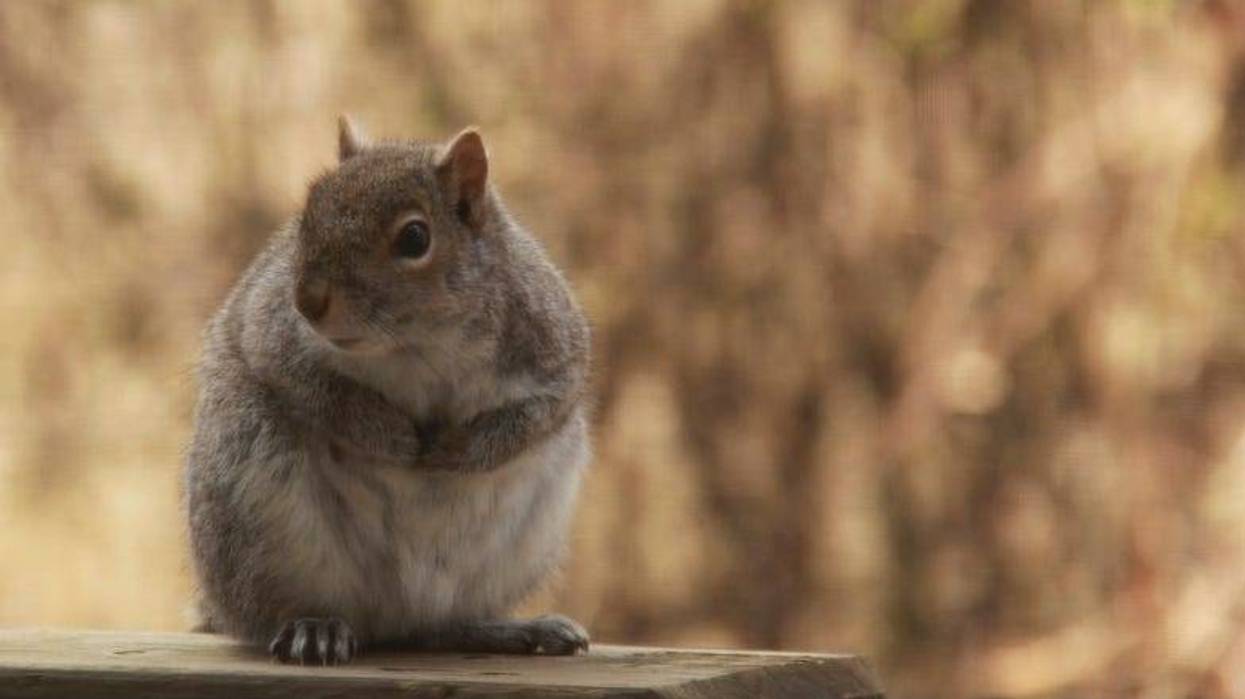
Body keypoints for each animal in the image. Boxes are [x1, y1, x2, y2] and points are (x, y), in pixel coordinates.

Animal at [185, 116, 592, 665]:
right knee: (276, 610)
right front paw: (390, 436)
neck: (419, 344)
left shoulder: (555, 343)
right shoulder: (269, 327)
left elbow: (541, 410)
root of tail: (394, 618)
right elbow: (311, 387)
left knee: (438, 630)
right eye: (308, 215)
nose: (307, 301)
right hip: (253, 502)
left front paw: (458, 451)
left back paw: (506, 630)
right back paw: (315, 628)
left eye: (415, 238)